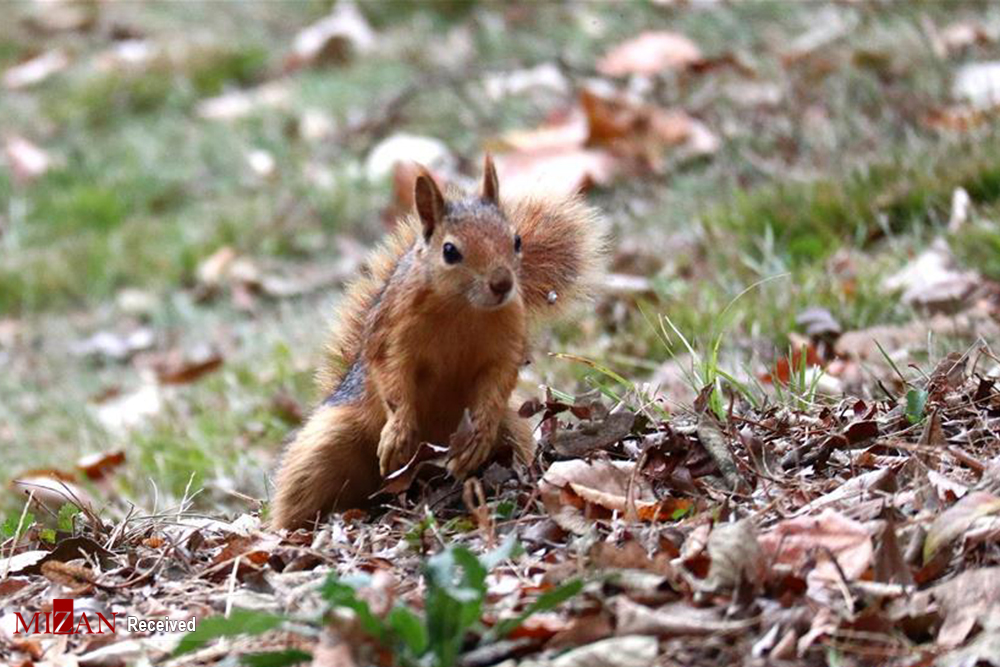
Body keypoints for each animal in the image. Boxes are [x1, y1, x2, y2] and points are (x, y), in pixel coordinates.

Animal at [270, 158, 604, 532]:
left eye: (517, 240)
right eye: (450, 251)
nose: (502, 283)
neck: (461, 309)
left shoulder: (505, 345)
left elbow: (498, 381)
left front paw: (478, 435)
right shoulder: (390, 336)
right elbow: (392, 377)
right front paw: (399, 432)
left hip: (510, 431)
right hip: (326, 447)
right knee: (300, 497)